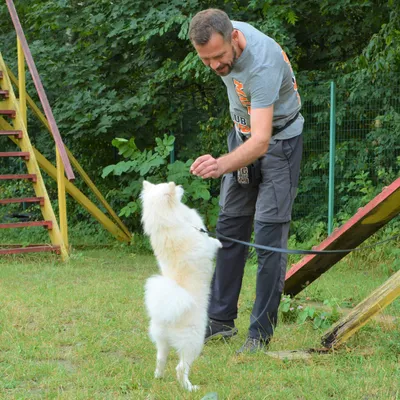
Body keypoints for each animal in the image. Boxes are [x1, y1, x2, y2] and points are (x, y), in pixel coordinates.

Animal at [141, 181, 222, 390]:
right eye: (173, 187)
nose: (179, 185)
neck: (166, 225)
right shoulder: (204, 242)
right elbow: (211, 242)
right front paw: (219, 241)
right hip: (194, 341)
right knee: (181, 368)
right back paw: (189, 387)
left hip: (161, 342)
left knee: (160, 359)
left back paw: (158, 377)